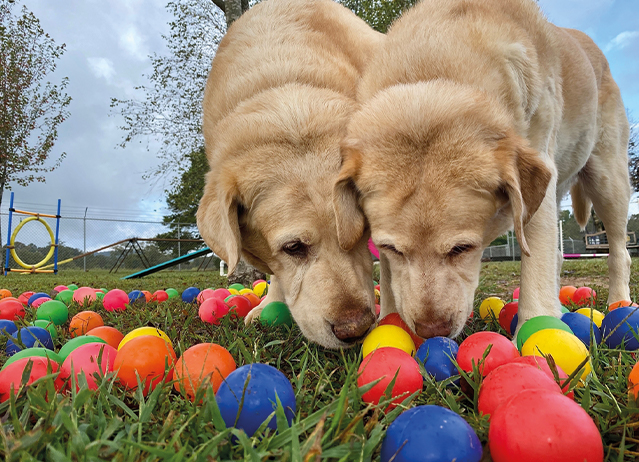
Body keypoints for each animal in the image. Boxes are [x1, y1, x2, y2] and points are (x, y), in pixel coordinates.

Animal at [332, 0, 632, 340]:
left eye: (462, 248)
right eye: (390, 247)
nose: (431, 331)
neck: (435, 64)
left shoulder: (537, 180)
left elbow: (536, 269)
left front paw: (533, 331)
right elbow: (389, 275)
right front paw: (389, 321)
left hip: (608, 181)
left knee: (619, 251)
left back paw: (619, 302)